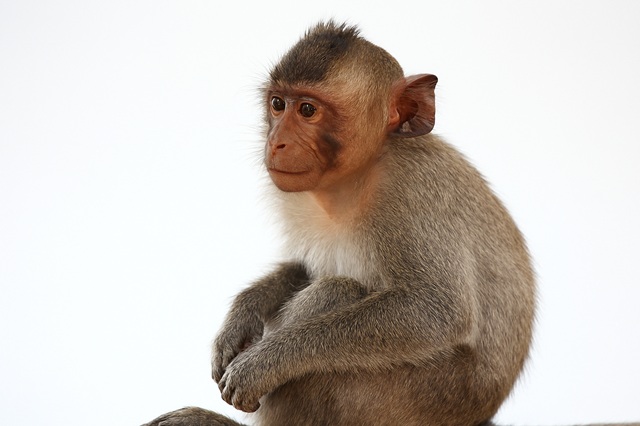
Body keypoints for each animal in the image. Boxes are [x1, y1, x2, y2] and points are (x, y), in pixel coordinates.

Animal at [142, 21, 536, 426]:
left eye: (307, 110)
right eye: (278, 104)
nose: (276, 142)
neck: (356, 178)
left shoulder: (412, 188)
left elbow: (437, 310)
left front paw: (262, 363)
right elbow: (304, 266)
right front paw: (244, 312)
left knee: (338, 290)